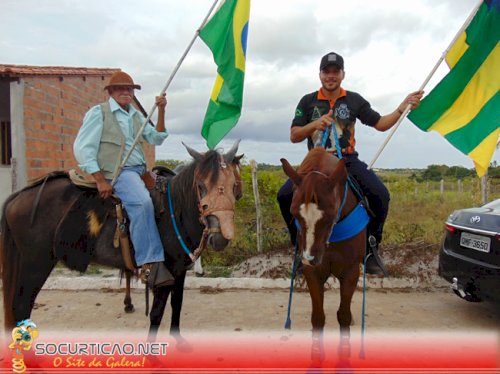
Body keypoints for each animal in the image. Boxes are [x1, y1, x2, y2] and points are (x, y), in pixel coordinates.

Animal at [0, 142, 242, 340]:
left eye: (233, 187)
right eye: (201, 186)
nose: (220, 238)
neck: (175, 209)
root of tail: (17, 197)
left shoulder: (180, 270)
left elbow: (177, 305)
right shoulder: (164, 273)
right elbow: (156, 314)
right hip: (36, 263)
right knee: (21, 306)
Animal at [282, 147, 368, 362]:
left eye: (329, 216)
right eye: (294, 214)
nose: (309, 259)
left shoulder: (351, 272)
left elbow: (343, 314)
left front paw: (344, 352)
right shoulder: (313, 273)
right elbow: (318, 316)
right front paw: (316, 352)